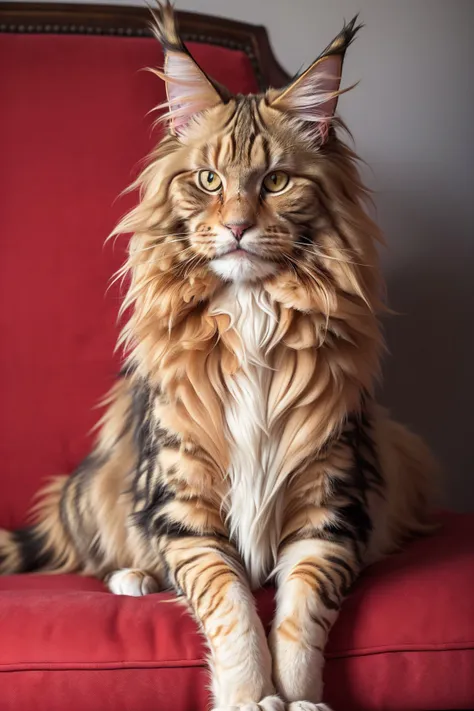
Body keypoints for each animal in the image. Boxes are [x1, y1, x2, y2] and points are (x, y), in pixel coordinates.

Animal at [0, 5, 436, 711]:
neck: (253, 312)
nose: (236, 227)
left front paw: (300, 697)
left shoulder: (329, 507)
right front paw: (249, 696)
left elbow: (299, 616)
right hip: (102, 479)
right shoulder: (186, 507)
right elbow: (230, 604)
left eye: (277, 181)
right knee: (102, 554)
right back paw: (133, 577)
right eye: (208, 180)